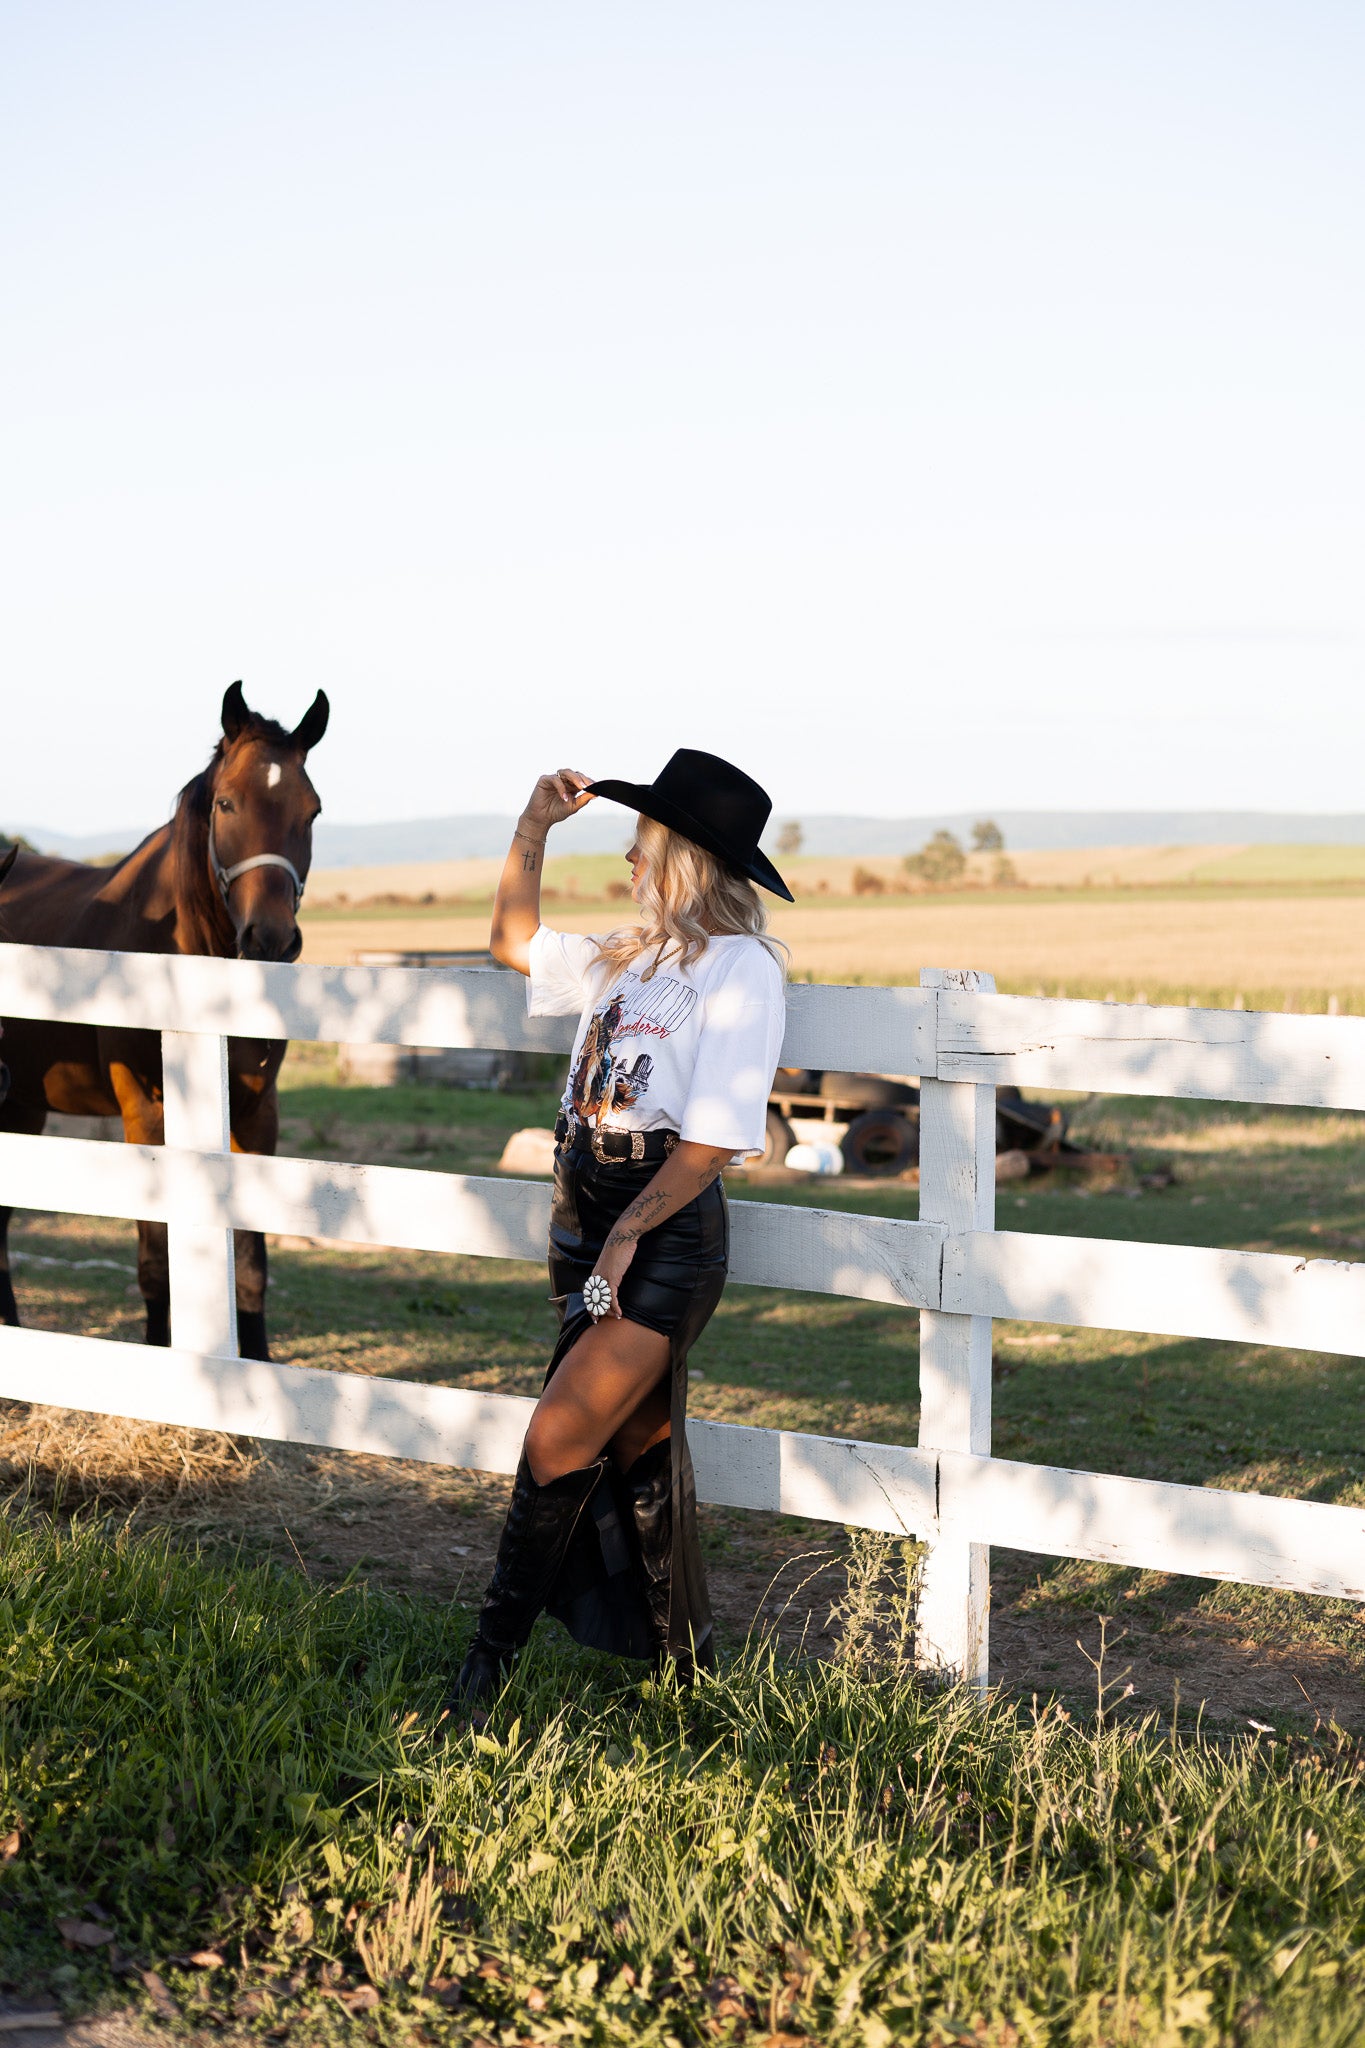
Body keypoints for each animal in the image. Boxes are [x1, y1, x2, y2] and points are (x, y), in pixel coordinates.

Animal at [0, 688, 329, 1359]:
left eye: (311, 811)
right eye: (227, 803)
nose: (270, 939)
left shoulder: (257, 1113)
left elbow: (250, 1265)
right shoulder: (146, 1113)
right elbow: (157, 1261)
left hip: (20, 1107)